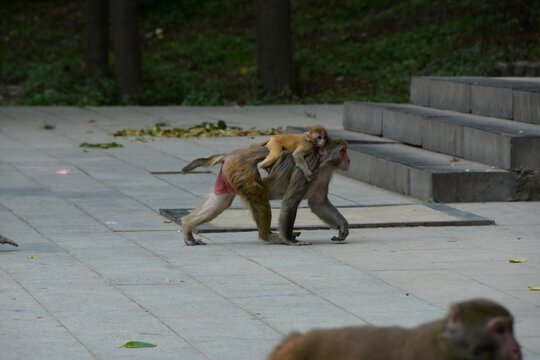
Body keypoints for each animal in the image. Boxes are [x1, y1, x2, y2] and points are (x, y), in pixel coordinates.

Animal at [181, 137, 350, 245]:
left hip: (228, 176)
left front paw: (342, 226)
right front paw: (289, 240)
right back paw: (267, 237)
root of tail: (230, 155)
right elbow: (290, 201)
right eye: (343, 151)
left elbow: (318, 203)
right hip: (243, 174)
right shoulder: (307, 169)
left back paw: (188, 227)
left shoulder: (325, 175)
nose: (349, 160)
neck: (323, 164)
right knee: (260, 197)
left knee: (219, 202)